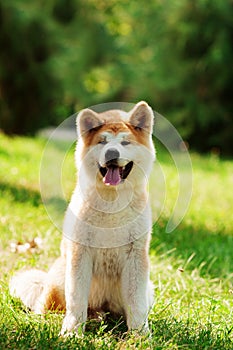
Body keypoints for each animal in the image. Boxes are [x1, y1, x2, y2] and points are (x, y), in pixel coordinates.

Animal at [10, 100, 157, 334]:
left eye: (125, 142)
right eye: (102, 142)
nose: (112, 153)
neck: (112, 201)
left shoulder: (136, 255)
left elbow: (136, 303)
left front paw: (140, 334)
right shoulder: (81, 253)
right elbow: (76, 299)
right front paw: (72, 332)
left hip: (147, 288)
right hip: (60, 276)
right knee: (50, 308)